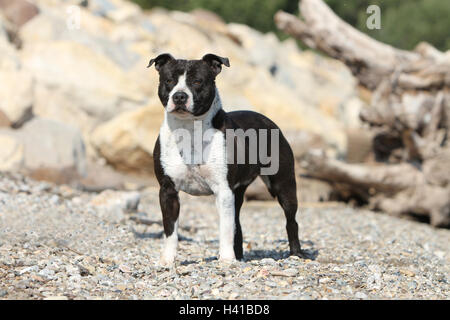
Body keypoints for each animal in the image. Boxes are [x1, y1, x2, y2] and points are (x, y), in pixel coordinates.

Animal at [149, 53, 306, 266]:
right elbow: (170, 229)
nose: (179, 96)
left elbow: (224, 228)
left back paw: (296, 253)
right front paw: (167, 259)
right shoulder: (168, 190)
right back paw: (239, 256)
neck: (189, 129)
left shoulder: (223, 191)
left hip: (283, 185)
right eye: (169, 81)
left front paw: (225, 259)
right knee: (237, 223)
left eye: (197, 81)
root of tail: (267, 120)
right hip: (238, 192)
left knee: (291, 220)